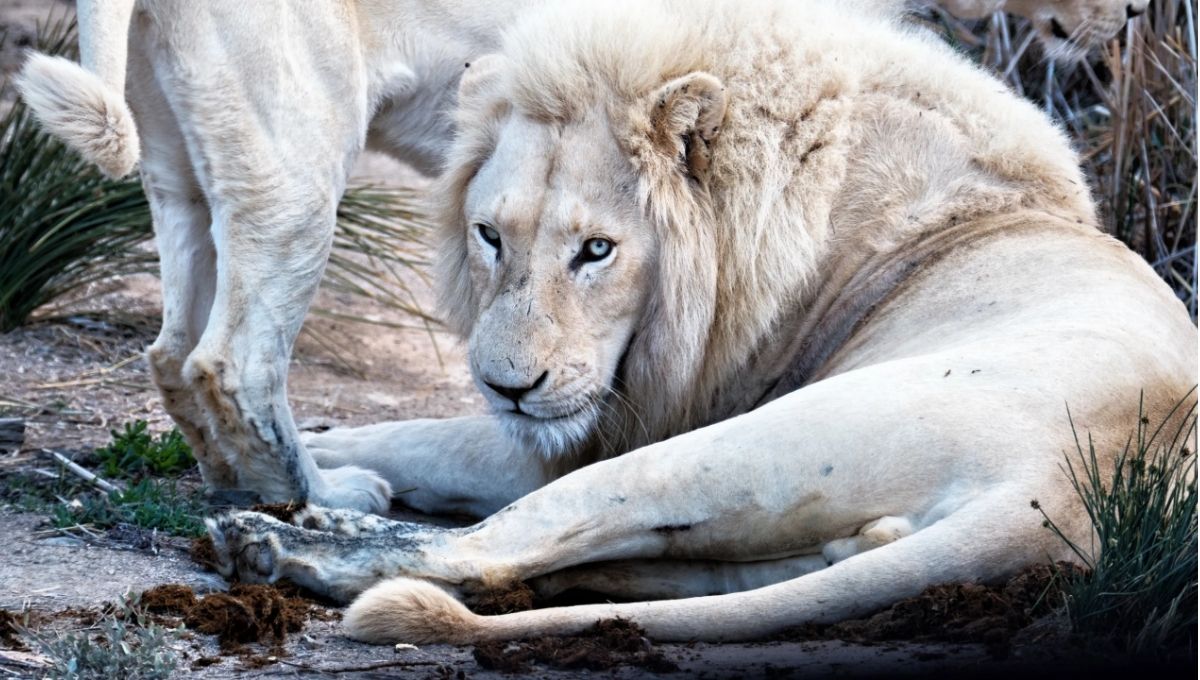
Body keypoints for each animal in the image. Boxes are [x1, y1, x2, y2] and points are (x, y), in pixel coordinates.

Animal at [200, 0, 1196, 644]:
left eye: (596, 251)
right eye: (490, 235)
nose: (507, 386)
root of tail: (1067, 490)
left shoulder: (598, 423)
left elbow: (422, 434)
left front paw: (312, 464)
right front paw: (309, 451)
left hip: (740, 443)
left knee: (495, 549)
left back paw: (283, 542)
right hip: (764, 546)